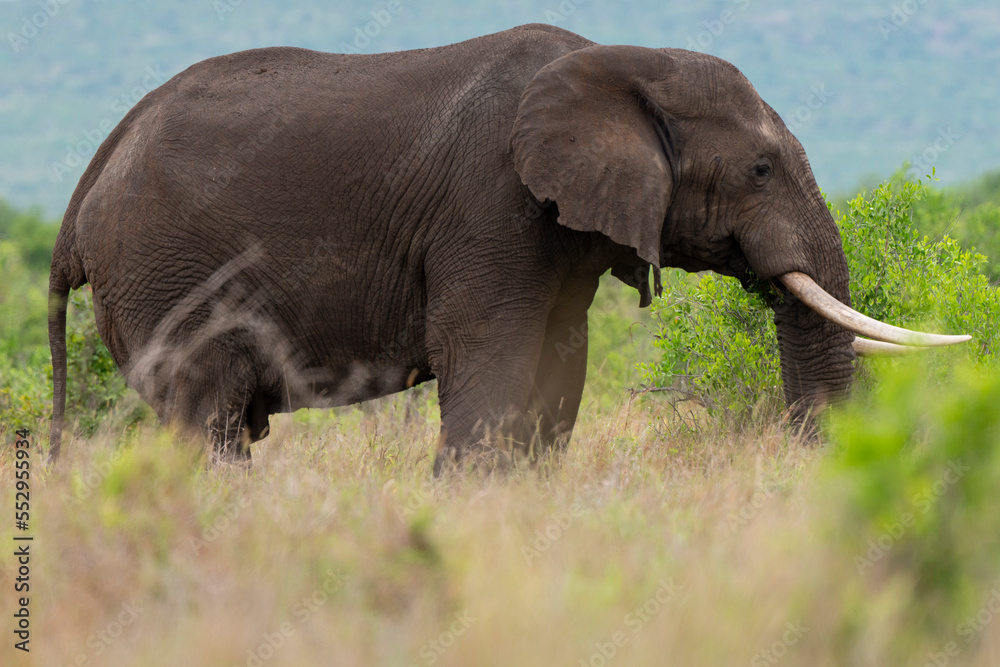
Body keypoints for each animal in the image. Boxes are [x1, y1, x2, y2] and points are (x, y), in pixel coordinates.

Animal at [48, 24, 967, 473]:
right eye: (761, 168)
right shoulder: (487, 207)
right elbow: (489, 354)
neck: (620, 62)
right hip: (167, 277)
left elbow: (560, 365)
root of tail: (83, 194)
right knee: (208, 418)